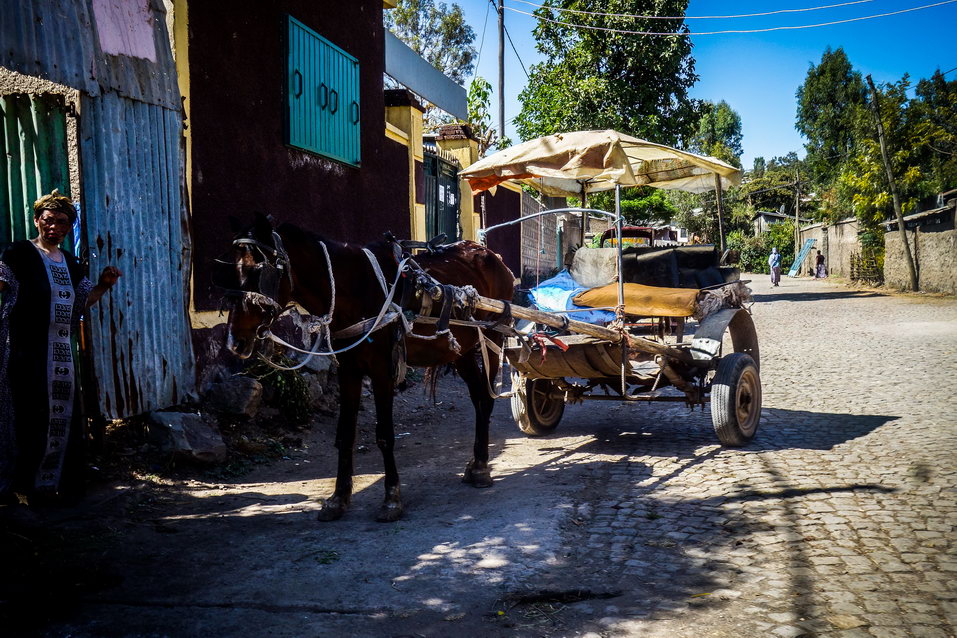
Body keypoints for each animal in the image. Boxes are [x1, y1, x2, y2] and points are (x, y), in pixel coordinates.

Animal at [222, 218, 516, 524]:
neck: (351, 289)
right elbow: (345, 434)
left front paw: (391, 499)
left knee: (487, 398)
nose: (234, 341)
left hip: (493, 336)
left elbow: (385, 435)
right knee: (478, 395)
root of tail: (492, 256)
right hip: (461, 349)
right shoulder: (348, 371)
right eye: (231, 271)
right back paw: (475, 463)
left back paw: (481, 468)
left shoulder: (382, 371)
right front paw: (338, 498)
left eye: (260, 272)